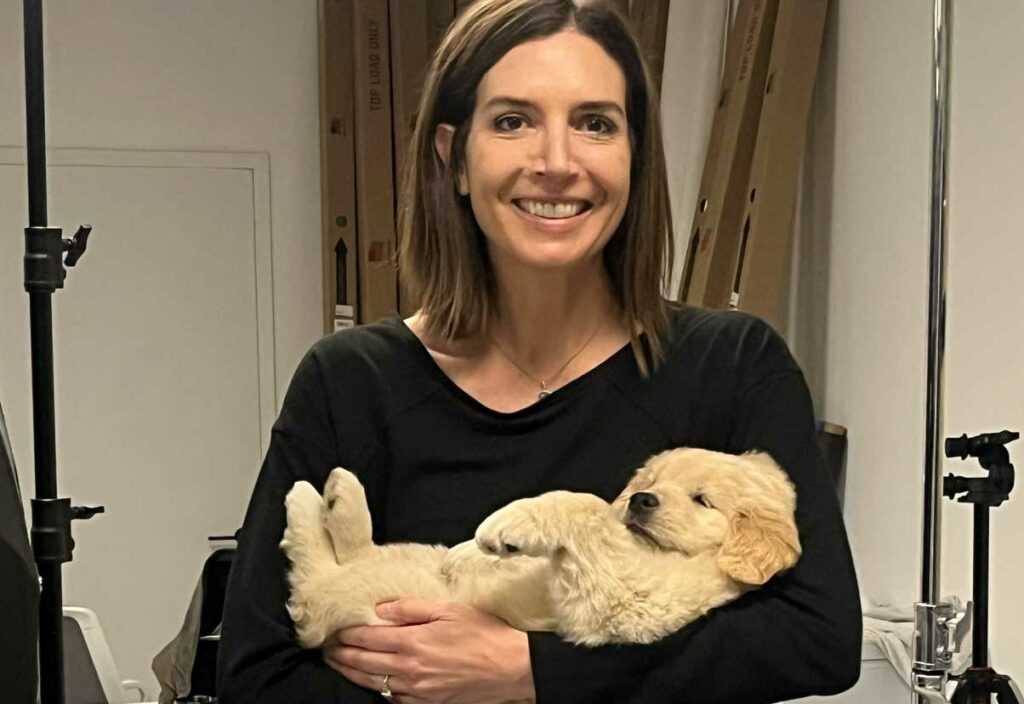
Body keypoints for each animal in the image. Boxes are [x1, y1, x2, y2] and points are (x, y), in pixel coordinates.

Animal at [278, 448, 798, 646]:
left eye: (702, 499)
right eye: (651, 482)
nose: (641, 500)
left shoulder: (631, 600)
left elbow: (587, 506)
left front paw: (509, 522)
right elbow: (595, 510)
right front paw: (471, 549)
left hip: (369, 590)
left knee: (313, 580)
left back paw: (307, 496)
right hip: (408, 561)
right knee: (352, 551)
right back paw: (335, 493)